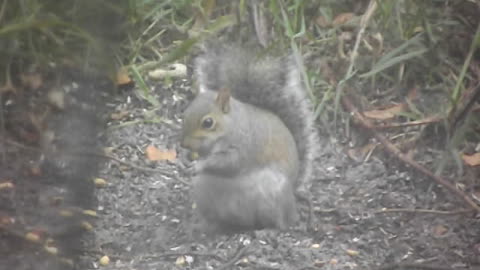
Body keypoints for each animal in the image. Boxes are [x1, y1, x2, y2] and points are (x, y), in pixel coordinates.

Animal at [180, 44, 318, 234]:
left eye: (208, 122)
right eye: (185, 113)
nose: (183, 143)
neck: (231, 125)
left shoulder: (245, 145)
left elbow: (229, 163)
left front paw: (199, 165)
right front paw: (185, 157)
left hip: (272, 197)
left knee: (283, 222)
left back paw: (269, 230)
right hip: (204, 195)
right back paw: (202, 226)